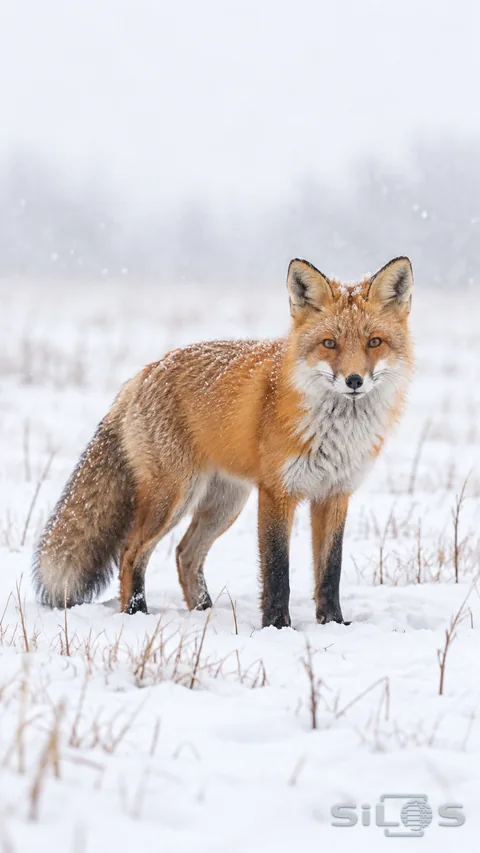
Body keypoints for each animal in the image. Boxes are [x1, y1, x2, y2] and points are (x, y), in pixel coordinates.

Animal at [33, 256, 414, 628]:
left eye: (374, 342)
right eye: (329, 343)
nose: (354, 380)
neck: (336, 433)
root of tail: (145, 372)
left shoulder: (335, 494)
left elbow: (329, 571)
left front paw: (333, 623)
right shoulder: (277, 492)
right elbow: (277, 570)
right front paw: (277, 626)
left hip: (225, 504)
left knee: (184, 554)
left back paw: (204, 611)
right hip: (175, 497)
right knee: (132, 551)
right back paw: (136, 613)